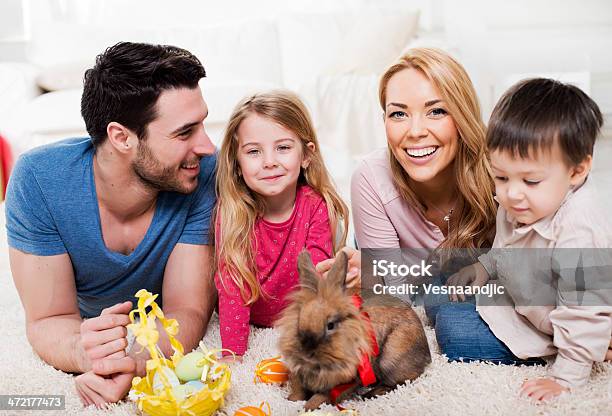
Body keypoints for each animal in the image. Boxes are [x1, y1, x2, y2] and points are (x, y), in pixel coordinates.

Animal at [278, 250, 430, 410]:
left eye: (330, 325)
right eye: (299, 319)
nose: (306, 353)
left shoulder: (345, 382)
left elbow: (320, 397)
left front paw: (306, 408)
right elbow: (298, 391)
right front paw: (291, 400)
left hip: (391, 360)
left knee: (403, 381)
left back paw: (369, 394)